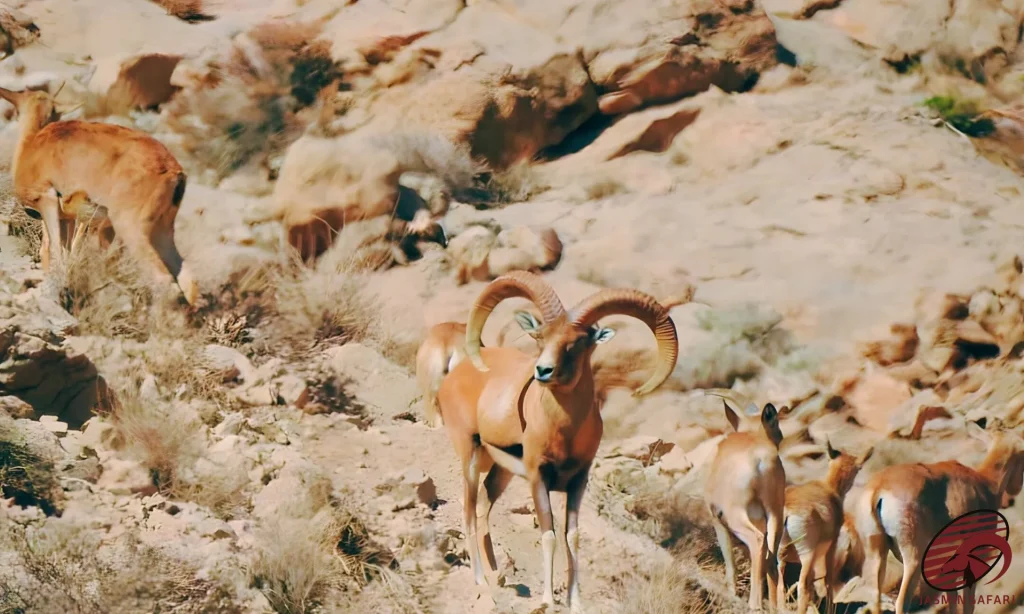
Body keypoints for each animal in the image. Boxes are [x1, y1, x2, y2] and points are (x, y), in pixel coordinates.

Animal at [0, 86, 198, 305]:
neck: (33, 144)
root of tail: (173, 171)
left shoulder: (47, 201)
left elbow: (55, 252)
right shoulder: (70, 220)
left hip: (132, 229)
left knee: (164, 280)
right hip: (161, 232)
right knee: (187, 279)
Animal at [436, 271, 679, 611]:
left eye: (577, 343)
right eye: (540, 337)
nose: (543, 370)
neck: (564, 431)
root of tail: (456, 375)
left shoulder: (577, 482)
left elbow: (572, 537)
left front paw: (575, 602)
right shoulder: (538, 478)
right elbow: (549, 533)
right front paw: (548, 600)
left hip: (502, 472)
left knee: (483, 505)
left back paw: (497, 574)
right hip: (469, 456)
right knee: (468, 512)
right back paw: (481, 581)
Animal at [703, 388, 786, 612]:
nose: (780, 436)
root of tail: (761, 459)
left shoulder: (718, 520)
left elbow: (729, 561)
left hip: (736, 517)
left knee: (756, 541)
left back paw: (754, 603)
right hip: (775, 515)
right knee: (771, 558)